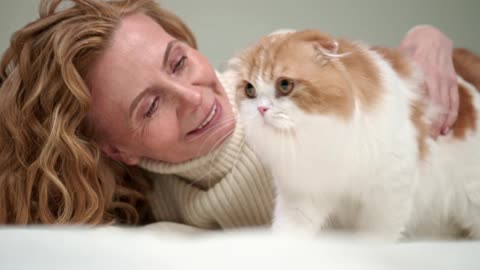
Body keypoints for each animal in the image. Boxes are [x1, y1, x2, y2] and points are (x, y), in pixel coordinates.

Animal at [227, 29, 480, 240]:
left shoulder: (388, 195)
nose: (261, 109)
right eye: (249, 90)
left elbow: (374, 239)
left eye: (285, 85)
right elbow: (289, 234)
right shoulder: (301, 197)